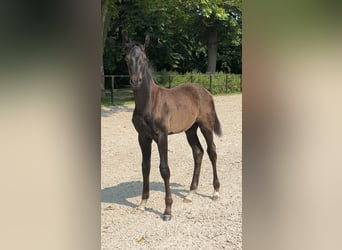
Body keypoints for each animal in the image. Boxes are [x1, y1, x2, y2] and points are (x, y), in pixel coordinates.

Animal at [123, 33, 222, 221]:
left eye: (145, 59)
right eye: (127, 58)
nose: (136, 81)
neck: (149, 102)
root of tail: (205, 91)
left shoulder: (162, 136)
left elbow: (164, 169)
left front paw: (167, 210)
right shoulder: (143, 137)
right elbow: (145, 167)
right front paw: (142, 204)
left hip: (206, 125)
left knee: (212, 152)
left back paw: (216, 192)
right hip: (190, 129)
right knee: (198, 152)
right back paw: (190, 193)